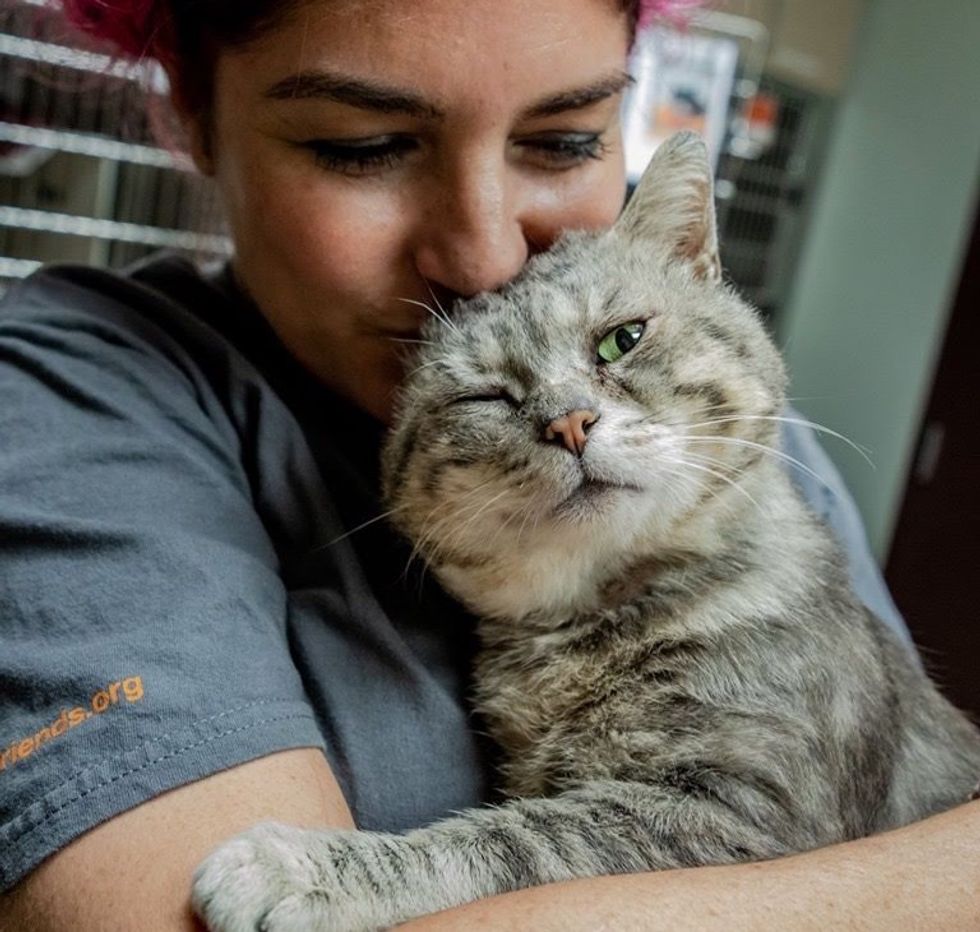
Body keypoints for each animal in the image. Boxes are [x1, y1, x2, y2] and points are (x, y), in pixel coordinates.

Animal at [193, 133, 980, 932]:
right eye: (488, 397)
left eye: (621, 341)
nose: (569, 423)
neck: (589, 625)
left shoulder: (748, 815)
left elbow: (512, 839)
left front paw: (306, 869)